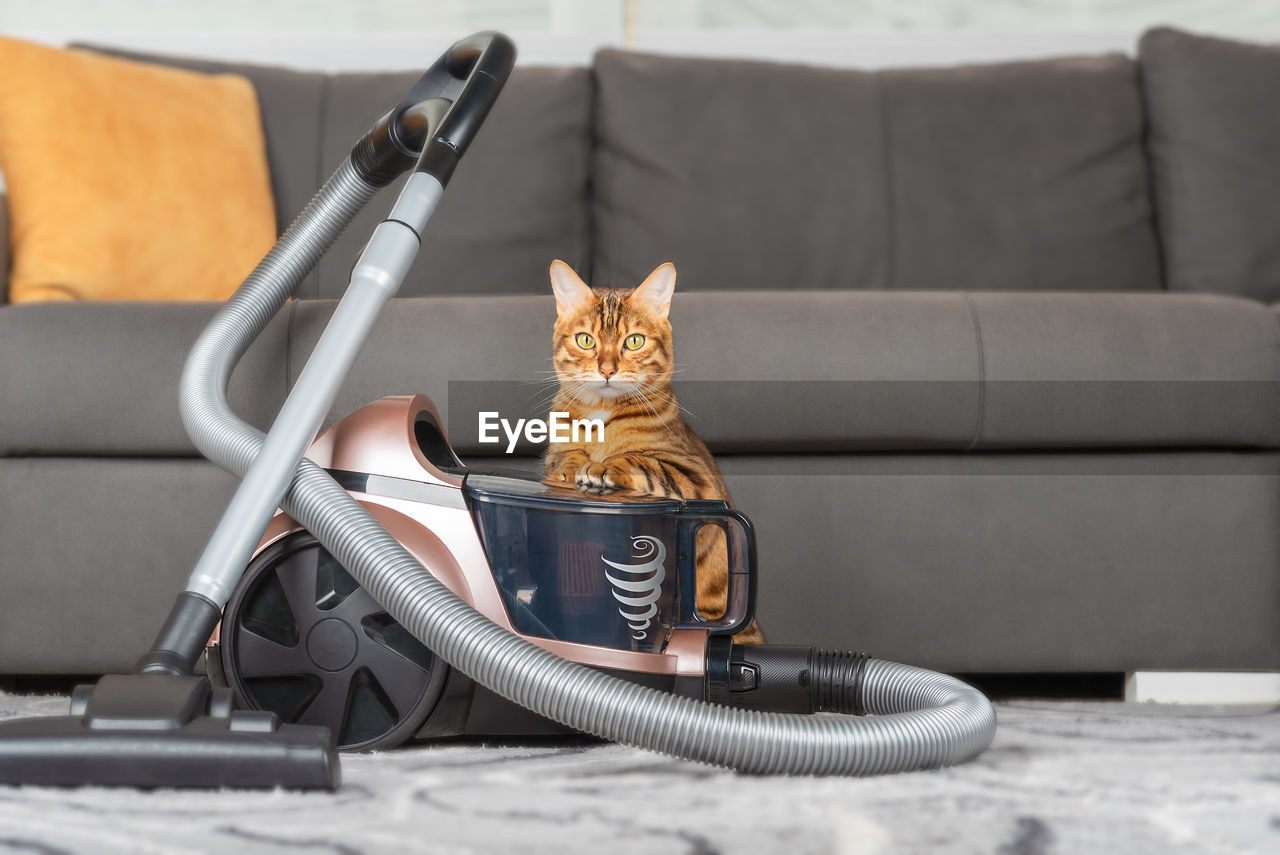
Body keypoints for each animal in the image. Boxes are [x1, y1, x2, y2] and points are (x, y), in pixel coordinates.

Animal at [537, 261, 757, 639]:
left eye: (634, 341)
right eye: (585, 340)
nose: (607, 370)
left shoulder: (696, 477)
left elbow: (643, 461)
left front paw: (600, 468)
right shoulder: (555, 449)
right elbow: (563, 456)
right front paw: (571, 466)